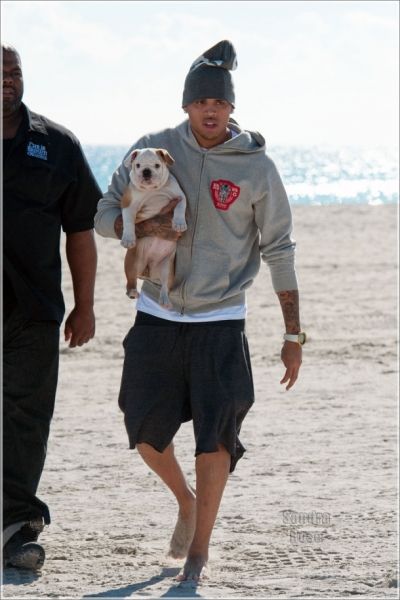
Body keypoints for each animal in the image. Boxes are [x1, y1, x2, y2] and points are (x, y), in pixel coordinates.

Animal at [120, 148, 188, 310]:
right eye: (137, 165)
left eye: (157, 165)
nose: (146, 171)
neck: (152, 191)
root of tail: (149, 269)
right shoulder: (128, 205)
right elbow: (128, 222)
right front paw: (128, 239)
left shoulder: (180, 197)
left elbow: (180, 209)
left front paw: (179, 223)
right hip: (133, 262)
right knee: (130, 280)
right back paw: (132, 292)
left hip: (167, 269)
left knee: (164, 287)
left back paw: (165, 301)